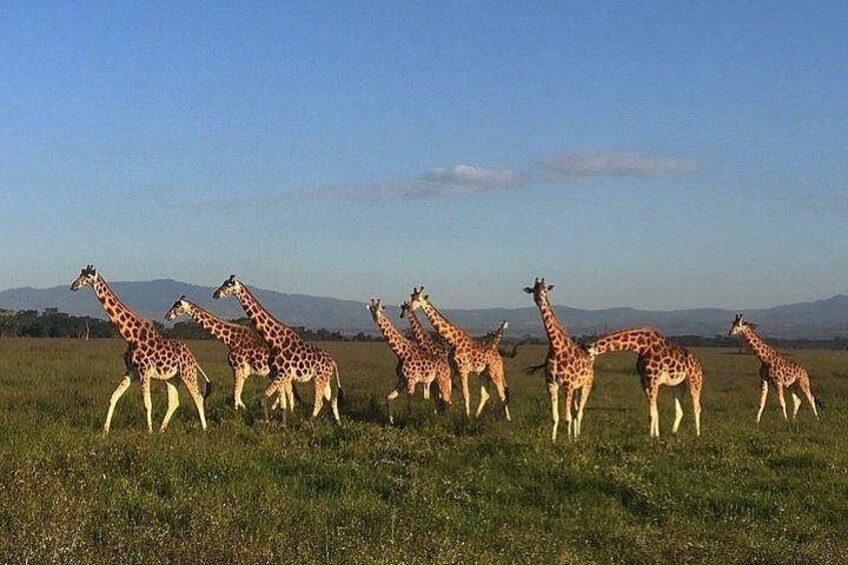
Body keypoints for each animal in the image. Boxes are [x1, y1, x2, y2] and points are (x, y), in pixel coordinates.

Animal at [70, 266, 211, 434]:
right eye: (80, 274)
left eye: (88, 277)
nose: (73, 286)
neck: (130, 336)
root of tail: (193, 358)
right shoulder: (131, 371)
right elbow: (113, 397)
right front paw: (105, 431)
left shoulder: (145, 371)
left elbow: (147, 404)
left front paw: (149, 432)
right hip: (172, 377)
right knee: (174, 402)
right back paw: (161, 430)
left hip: (187, 373)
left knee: (198, 397)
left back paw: (204, 429)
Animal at [164, 295, 296, 413]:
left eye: (177, 306)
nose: (167, 316)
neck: (231, 339)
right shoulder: (242, 371)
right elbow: (237, 395)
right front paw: (243, 409)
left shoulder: (237, 367)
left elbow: (236, 395)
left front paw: (236, 414)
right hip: (275, 374)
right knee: (287, 389)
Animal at [213, 275, 342, 424]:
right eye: (223, 282)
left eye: (229, 284)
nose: (215, 294)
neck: (274, 340)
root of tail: (333, 362)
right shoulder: (279, 374)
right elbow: (281, 403)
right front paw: (280, 424)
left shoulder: (281, 373)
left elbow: (264, 400)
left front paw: (269, 423)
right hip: (323, 379)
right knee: (332, 399)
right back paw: (338, 423)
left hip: (320, 378)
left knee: (319, 402)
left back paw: (308, 422)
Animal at [408, 287, 511, 421]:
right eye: (411, 297)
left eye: (418, 299)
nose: (409, 307)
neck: (452, 340)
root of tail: (499, 357)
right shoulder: (454, 369)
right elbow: (449, 392)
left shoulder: (463, 369)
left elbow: (465, 394)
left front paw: (466, 417)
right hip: (483, 373)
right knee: (486, 394)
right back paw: (477, 416)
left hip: (495, 372)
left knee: (502, 394)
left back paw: (508, 419)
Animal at [523, 278, 594, 441]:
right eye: (533, 290)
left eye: (545, 290)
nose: (539, 299)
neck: (556, 349)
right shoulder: (551, 384)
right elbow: (555, 417)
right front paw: (553, 440)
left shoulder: (568, 384)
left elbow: (567, 417)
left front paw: (567, 441)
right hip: (576, 388)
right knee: (575, 411)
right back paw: (575, 436)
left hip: (586, 385)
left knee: (579, 413)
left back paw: (577, 437)